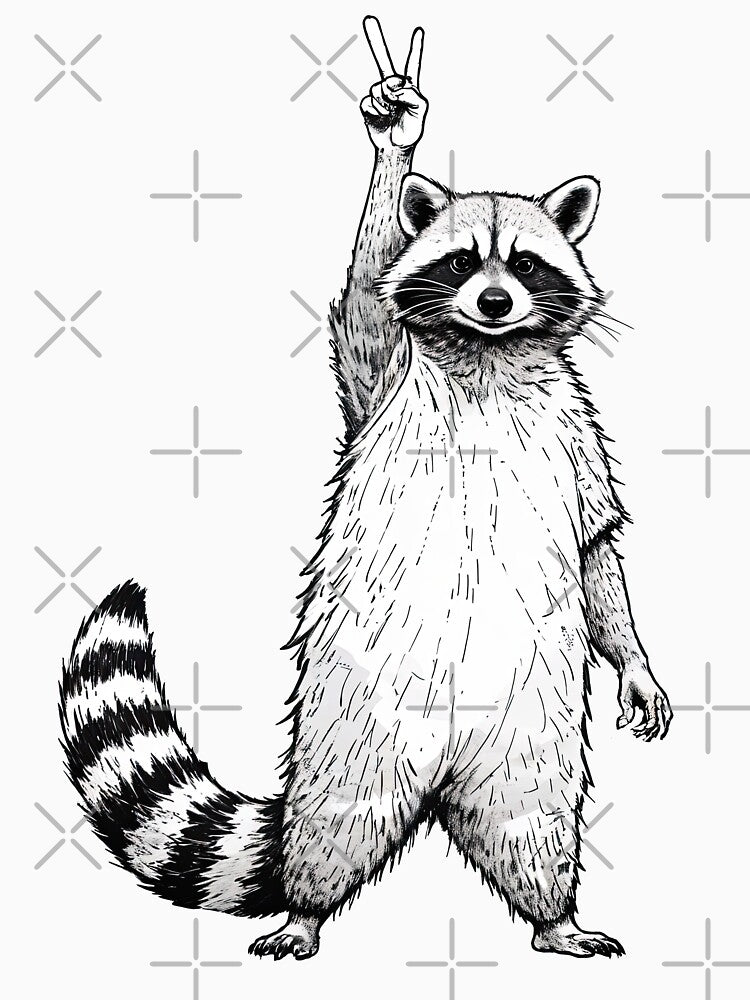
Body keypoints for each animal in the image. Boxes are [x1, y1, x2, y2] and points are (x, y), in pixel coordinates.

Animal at [59, 18, 671, 965]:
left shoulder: (578, 428)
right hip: (354, 729)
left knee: (532, 827)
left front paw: (634, 661)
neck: (486, 355)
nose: (495, 302)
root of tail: (444, 772)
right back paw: (305, 908)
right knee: (334, 826)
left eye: (527, 265)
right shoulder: (387, 375)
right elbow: (360, 304)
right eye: (459, 261)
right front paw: (396, 136)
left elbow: (595, 538)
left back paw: (554, 918)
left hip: (530, 738)